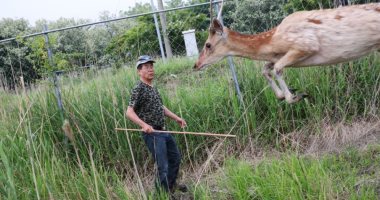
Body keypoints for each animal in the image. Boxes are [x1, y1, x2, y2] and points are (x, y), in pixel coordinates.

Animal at [194, 0, 378, 103]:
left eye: (208, 45)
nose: (196, 65)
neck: (273, 41)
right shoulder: (279, 56)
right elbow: (265, 69)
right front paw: (283, 95)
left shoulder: (306, 45)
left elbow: (277, 69)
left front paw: (295, 96)